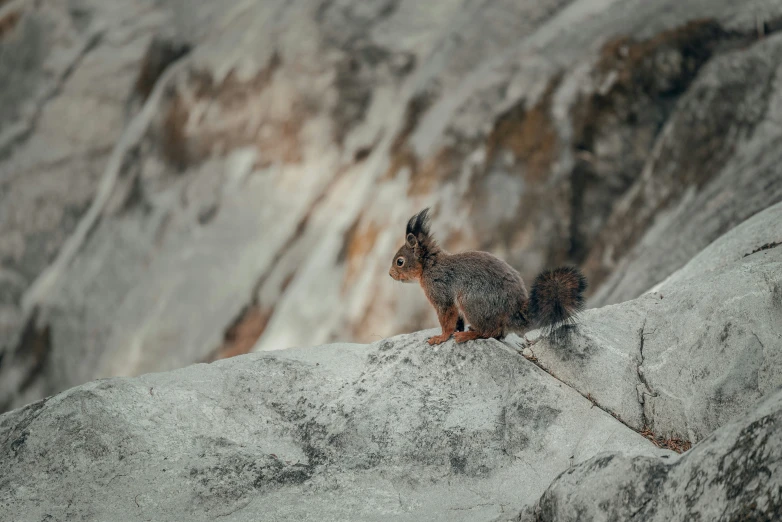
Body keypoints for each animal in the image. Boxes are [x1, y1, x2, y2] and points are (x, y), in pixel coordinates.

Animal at [390, 207, 588, 346]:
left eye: (400, 261)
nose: (390, 274)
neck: (430, 266)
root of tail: (513, 311)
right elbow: (456, 320)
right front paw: (452, 331)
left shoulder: (441, 293)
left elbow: (447, 318)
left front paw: (441, 337)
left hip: (471, 301)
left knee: (490, 332)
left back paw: (468, 334)